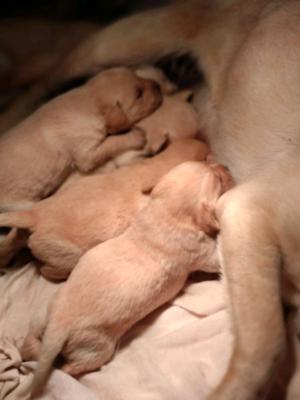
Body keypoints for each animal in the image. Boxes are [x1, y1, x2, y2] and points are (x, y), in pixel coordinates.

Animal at [0, 67, 162, 212]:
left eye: (137, 75)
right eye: (139, 94)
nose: (158, 85)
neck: (90, 101)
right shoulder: (87, 153)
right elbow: (112, 142)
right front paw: (137, 135)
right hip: (19, 204)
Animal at [28, 161, 233, 396]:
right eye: (218, 178)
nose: (224, 165)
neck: (164, 212)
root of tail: (59, 325)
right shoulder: (200, 253)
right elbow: (215, 258)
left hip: (46, 311)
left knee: (34, 340)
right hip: (95, 346)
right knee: (73, 365)